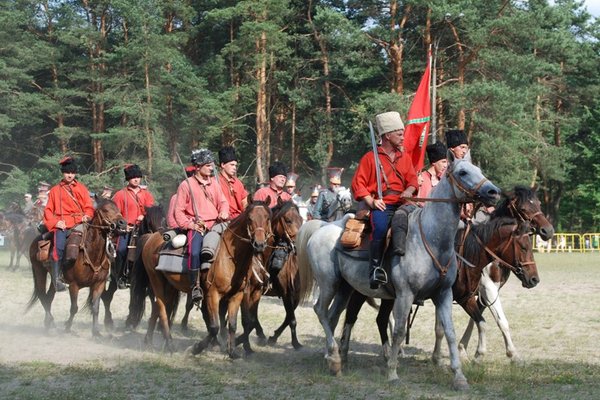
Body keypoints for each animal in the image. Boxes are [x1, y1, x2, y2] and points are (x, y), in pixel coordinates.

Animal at [25, 200, 126, 338]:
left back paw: (48, 324)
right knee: (42, 295)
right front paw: (67, 327)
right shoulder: (74, 285)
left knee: (49, 296)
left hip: (54, 279)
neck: (92, 253)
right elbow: (74, 308)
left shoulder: (99, 284)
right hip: (39, 270)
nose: (123, 223)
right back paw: (52, 324)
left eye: (118, 208)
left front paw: (96, 332)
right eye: (105, 210)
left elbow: (95, 308)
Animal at [141, 197, 272, 354]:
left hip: (170, 285)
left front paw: (232, 351)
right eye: (249, 218)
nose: (259, 244)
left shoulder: (237, 295)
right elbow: (214, 326)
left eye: (268, 218)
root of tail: (152, 237)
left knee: (158, 308)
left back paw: (149, 340)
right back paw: (170, 344)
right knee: (161, 308)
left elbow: (233, 324)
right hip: (156, 280)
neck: (229, 257)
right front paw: (197, 348)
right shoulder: (213, 294)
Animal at [236, 199, 304, 350]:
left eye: (301, 220)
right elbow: (291, 318)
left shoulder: (294, 295)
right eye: (288, 220)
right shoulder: (285, 292)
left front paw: (273, 337)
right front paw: (295, 343)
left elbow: (289, 317)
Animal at [298, 152, 500, 390]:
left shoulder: (443, 294)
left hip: (345, 289)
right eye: (463, 172)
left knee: (332, 316)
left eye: (479, 170)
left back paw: (333, 358)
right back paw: (335, 358)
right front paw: (392, 372)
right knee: (320, 310)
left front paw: (459, 377)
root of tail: (322, 228)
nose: (493, 192)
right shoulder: (405, 295)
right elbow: (399, 331)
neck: (432, 239)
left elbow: (449, 332)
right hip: (329, 284)